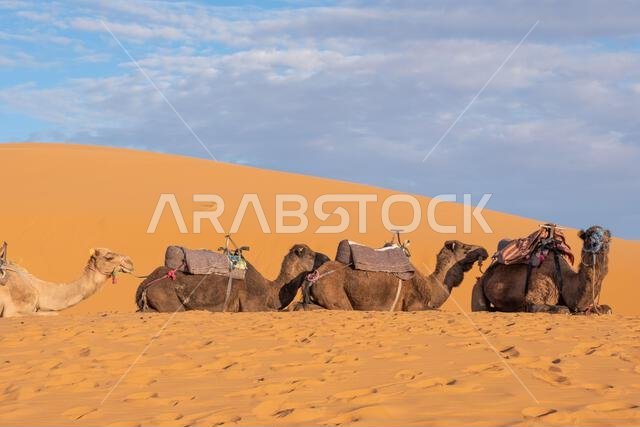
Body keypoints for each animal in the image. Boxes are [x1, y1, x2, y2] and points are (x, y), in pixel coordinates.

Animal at [136, 244, 329, 312]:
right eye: (311, 254)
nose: (327, 258)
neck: (270, 290)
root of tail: (143, 284)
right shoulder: (251, 304)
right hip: (165, 295)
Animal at [296, 240, 488, 311]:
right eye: (465, 248)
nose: (484, 251)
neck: (430, 287)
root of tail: (313, 276)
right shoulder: (413, 307)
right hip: (338, 299)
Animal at [471, 226, 612, 314]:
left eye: (606, 238)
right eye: (587, 236)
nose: (595, 244)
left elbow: (607, 309)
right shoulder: (536, 293)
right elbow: (562, 309)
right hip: (478, 288)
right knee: (481, 308)